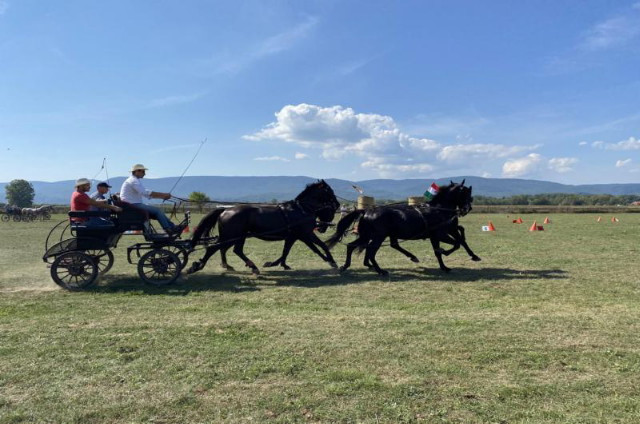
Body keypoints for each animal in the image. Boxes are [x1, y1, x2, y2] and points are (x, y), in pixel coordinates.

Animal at [188, 180, 340, 274]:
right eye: (330, 191)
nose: (338, 204)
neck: (302, 209)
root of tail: (225, 210)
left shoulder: (293, 236)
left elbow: (286, 251)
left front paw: (278, 264)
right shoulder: (305, 234)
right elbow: (319, 247)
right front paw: (331, 262)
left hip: (237, 236)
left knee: (232, 250)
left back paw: (242, 266)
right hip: (232, 236)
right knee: (214, 248)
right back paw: (197, 266)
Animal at [328, 181, 478, 274]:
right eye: (466, 193)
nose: (468, 208)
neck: (438, 210)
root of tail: (366, 211)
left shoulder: (436, 236)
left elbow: (440, 250)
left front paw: (444, 266)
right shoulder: (441, 234)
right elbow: (456, 244)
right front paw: (445, 252)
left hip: (368, 235)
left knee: (352, 246)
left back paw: (345, 266)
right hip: (378, 237)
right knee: (371, 251)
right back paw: (380, 271)